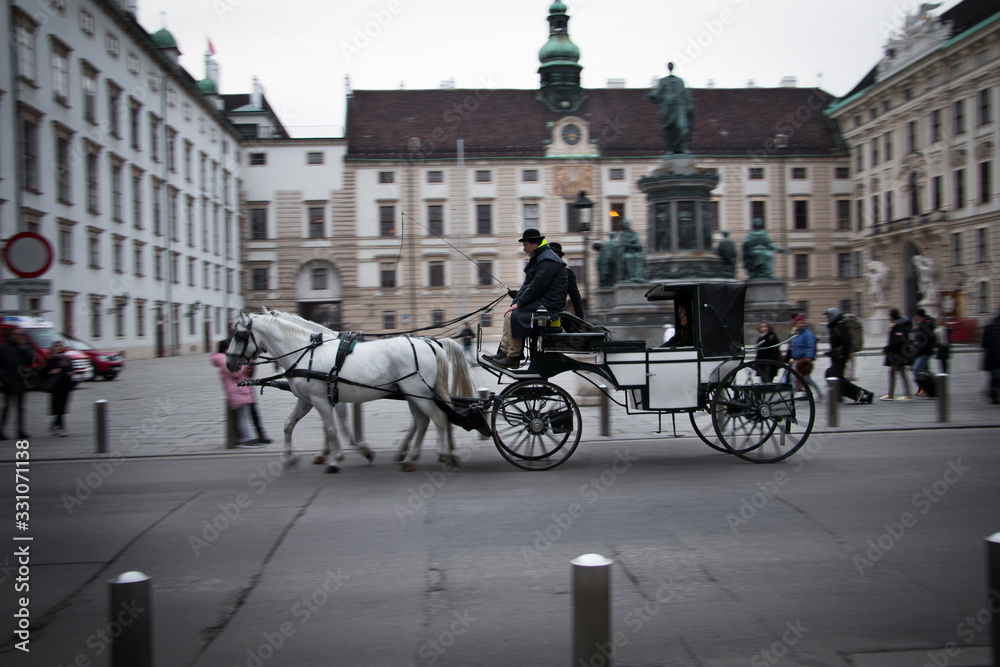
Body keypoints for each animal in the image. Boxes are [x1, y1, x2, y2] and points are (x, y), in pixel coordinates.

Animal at [229, 312, 474, 472]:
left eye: (239, 335)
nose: (230, 363)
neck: (306, 353)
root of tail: (430, 343)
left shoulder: (321, 400)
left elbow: (331, 428)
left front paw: (336, 459)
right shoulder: (308, 400)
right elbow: (290, 425)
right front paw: (289, 458)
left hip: (418, 391)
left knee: (438, 418)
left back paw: (443, 455)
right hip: (413, 393)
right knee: (423, 421)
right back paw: (411, 457)